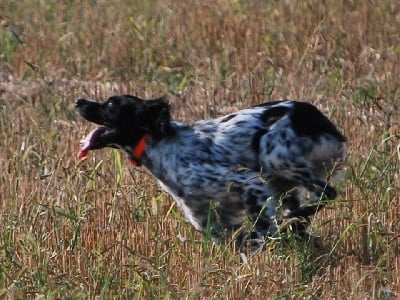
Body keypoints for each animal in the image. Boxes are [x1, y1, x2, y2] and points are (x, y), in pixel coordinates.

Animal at [76, 95, 346, 251]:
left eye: (111, 104)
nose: (78, 101)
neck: (161, 143)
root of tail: (314, 115)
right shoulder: (205, 215)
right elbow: (224, 236)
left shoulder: (248, 183)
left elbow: (261, 230)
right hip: (281, 179)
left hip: (275, 156)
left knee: (327, 193)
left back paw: (296, 218)